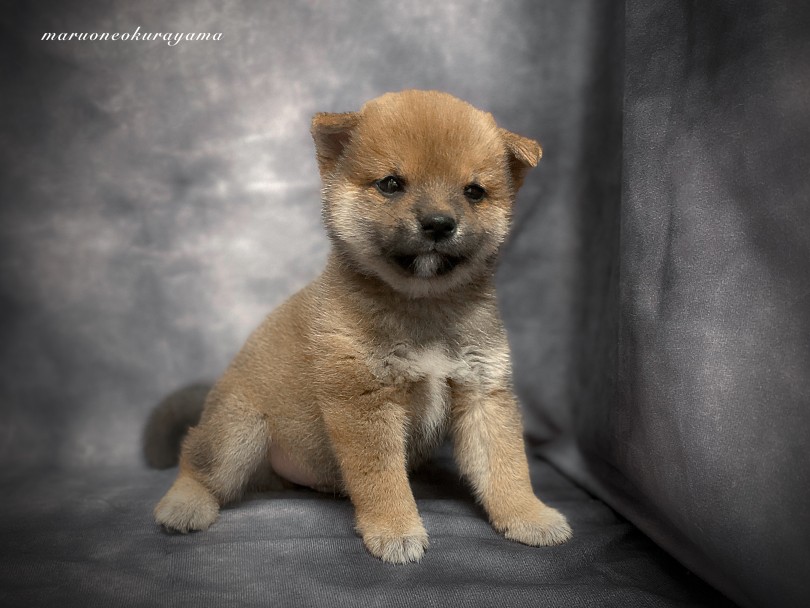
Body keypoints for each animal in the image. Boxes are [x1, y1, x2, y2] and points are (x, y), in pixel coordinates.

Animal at [150, 89, 568, 560]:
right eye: (391, 184)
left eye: (474, 192)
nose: (439, 224)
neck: (422, 305)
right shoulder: (364, 400)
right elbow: (381, 480)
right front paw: (395, 528)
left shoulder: (483, 391)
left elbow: (506, 467)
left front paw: (528, 515)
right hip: (239, 430)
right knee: (195, 460)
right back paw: (184, 503)